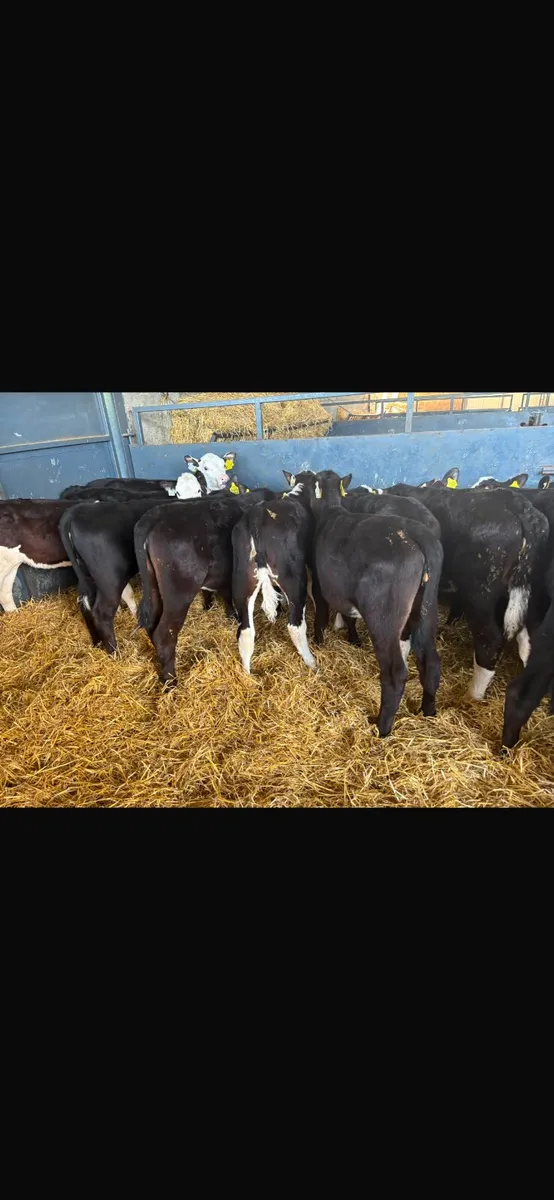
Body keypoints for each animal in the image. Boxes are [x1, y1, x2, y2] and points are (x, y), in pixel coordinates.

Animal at [232, 473, 316, 674]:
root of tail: (256, 517)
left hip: (242, 578)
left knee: (245, 631)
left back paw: (247, 675)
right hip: (293, 576)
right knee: (295, 624)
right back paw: (311, 662)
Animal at [306, 470, 444, 737]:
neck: (331, 510)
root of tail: (417, 535)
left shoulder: (320, 582)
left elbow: (322, 612)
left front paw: (318, 640)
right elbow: (349, 616)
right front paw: (353, 639)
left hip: (384, 619)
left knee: (395, 674)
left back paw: (382, 727)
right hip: (426, 608)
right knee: (430, 660)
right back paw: (428, 711)